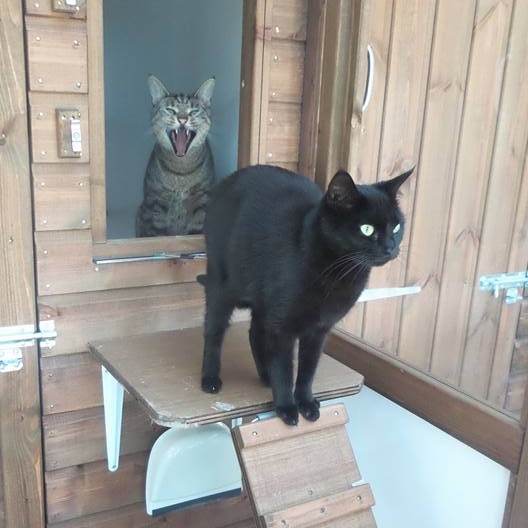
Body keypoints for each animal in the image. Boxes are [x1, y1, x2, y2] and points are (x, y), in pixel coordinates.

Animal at [135, 75, 216, 236]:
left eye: (194, 111)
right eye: (170, 110)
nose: (182, 119)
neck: (181, 171)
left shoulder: (202, 199)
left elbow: (196, 229)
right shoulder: (156, 200)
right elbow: (156, 232)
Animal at [202, 164, 412, 424]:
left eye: (397, 226)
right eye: (367, 229)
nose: (390, 247)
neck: (336, 273)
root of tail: (226, 182)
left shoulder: (318, 331)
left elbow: (307, 370)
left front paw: (305, 402)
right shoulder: (281, 329)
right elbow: (284, 369)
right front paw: (286, 407)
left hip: (263, 303)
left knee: (255, 333)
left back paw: (266, 376)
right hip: (222, 286)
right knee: (214, 331)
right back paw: (210, 378)